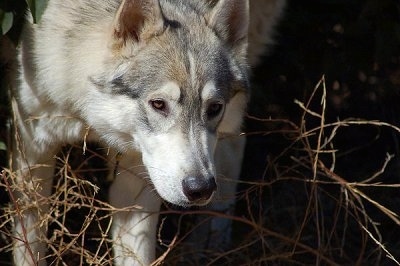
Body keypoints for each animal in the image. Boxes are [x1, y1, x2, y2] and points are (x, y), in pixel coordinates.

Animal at [10, 0, 286, 264]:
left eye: (214, 107)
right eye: (159, 104)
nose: (200, 189)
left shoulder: (137, 175)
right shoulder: (32, 147)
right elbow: (29, 247)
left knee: (235, 147)